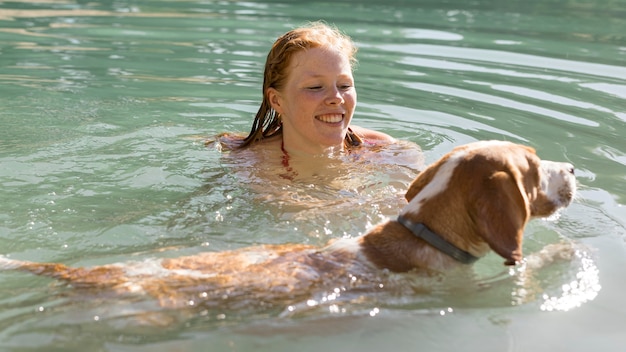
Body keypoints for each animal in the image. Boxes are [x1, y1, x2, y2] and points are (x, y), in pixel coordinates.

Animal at [0, 142, 576, 310]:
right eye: (532, 166)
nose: (573, 170)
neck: (423, 230)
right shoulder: (470, 290)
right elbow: (533, 265)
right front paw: (566, 254)